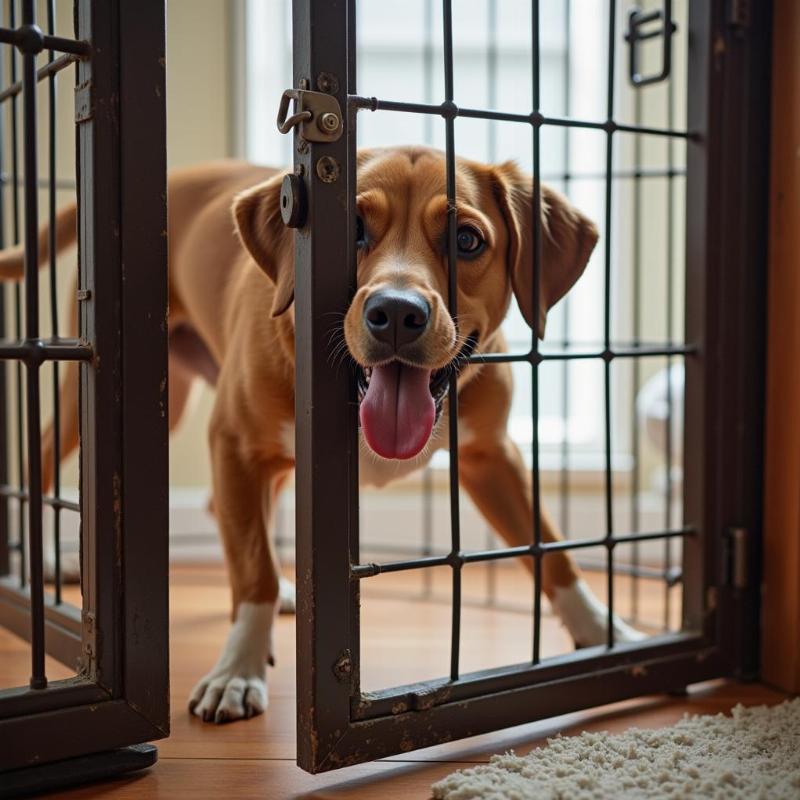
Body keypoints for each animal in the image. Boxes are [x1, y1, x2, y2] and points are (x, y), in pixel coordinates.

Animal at [0, 145, 640, 724]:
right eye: (350, 228)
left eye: (467, 240)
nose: (397, 313)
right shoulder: (233, 444)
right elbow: (252, 567)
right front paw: (238, 670)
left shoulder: (491, 455)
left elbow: (551, 552)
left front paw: (606, 635)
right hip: (100, 400)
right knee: (41, 462)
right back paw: (39, 564)